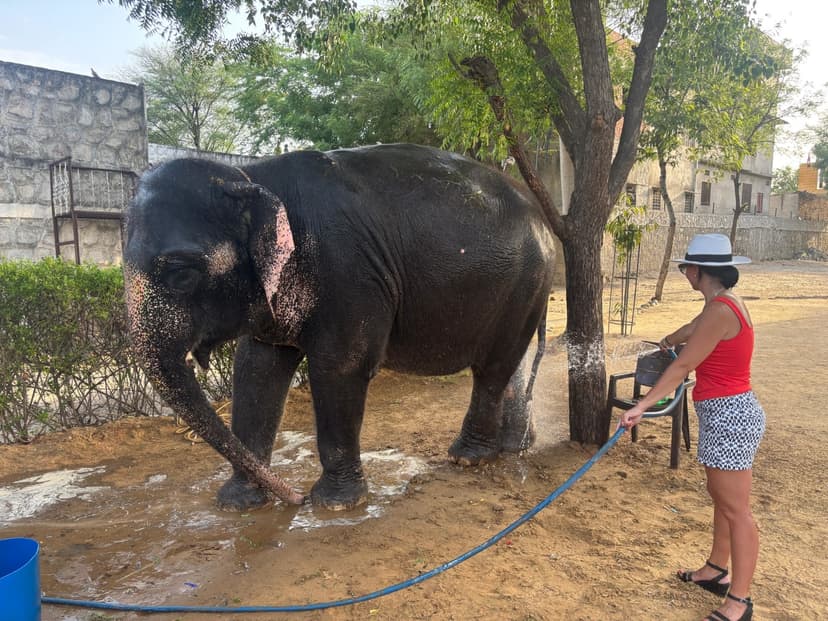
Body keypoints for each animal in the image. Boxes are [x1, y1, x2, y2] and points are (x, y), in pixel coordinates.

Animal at [123, 143, 555, 511]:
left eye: (181, 274)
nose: (293, 498)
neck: (250, 176)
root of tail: (544, 222)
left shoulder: (348, 273)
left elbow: (340, 367)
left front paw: (334, 504)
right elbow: (256, 368)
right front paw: (237, 503)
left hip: (526, 281)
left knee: (493, 369)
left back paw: (469, 458)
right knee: (509, 362)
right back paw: (514, 447)